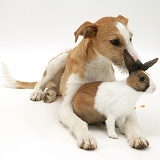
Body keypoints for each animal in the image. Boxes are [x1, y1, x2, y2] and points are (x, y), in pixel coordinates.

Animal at [1, 15, 149, 150]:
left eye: (130, 38)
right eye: (115, 42)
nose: (140, 65)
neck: (97, 65)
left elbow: (131, 122)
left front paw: (137, 136)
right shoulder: (66, 107)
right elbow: (79, 122)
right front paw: (86, 137)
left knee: (55, 88)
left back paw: (50, 94)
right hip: (58, 61)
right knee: (43, 81)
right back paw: (38, 92)